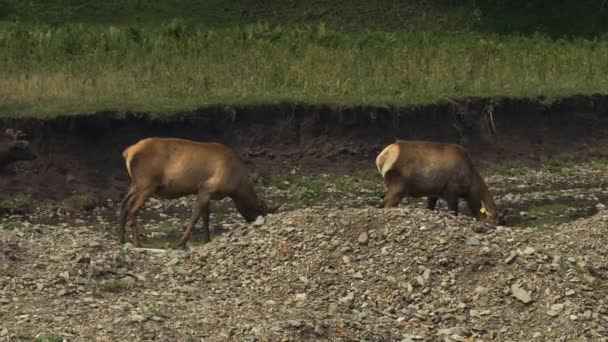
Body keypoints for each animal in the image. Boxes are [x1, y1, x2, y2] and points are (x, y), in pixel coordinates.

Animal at [117, 138, 280, 247]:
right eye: (261, 211)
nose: (257, 224)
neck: (236, 185)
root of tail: (127, 153)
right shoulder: (206, 188)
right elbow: (196, 215)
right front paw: (182, 242)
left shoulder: (203, 192)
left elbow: (205, 216)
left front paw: (207, 239)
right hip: (147, 183)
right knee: (133, 208)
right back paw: (137, 242)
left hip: (135, 184)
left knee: (123, 205)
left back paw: (121, 239)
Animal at [378, 140, 506, 226]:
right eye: (492, 223)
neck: (470, 188)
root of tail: (381, 158)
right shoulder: (451, 191)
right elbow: (454, 212)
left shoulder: (434, 193)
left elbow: (430, 208)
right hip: (399, 186)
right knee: (387, 204)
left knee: (382, 204)